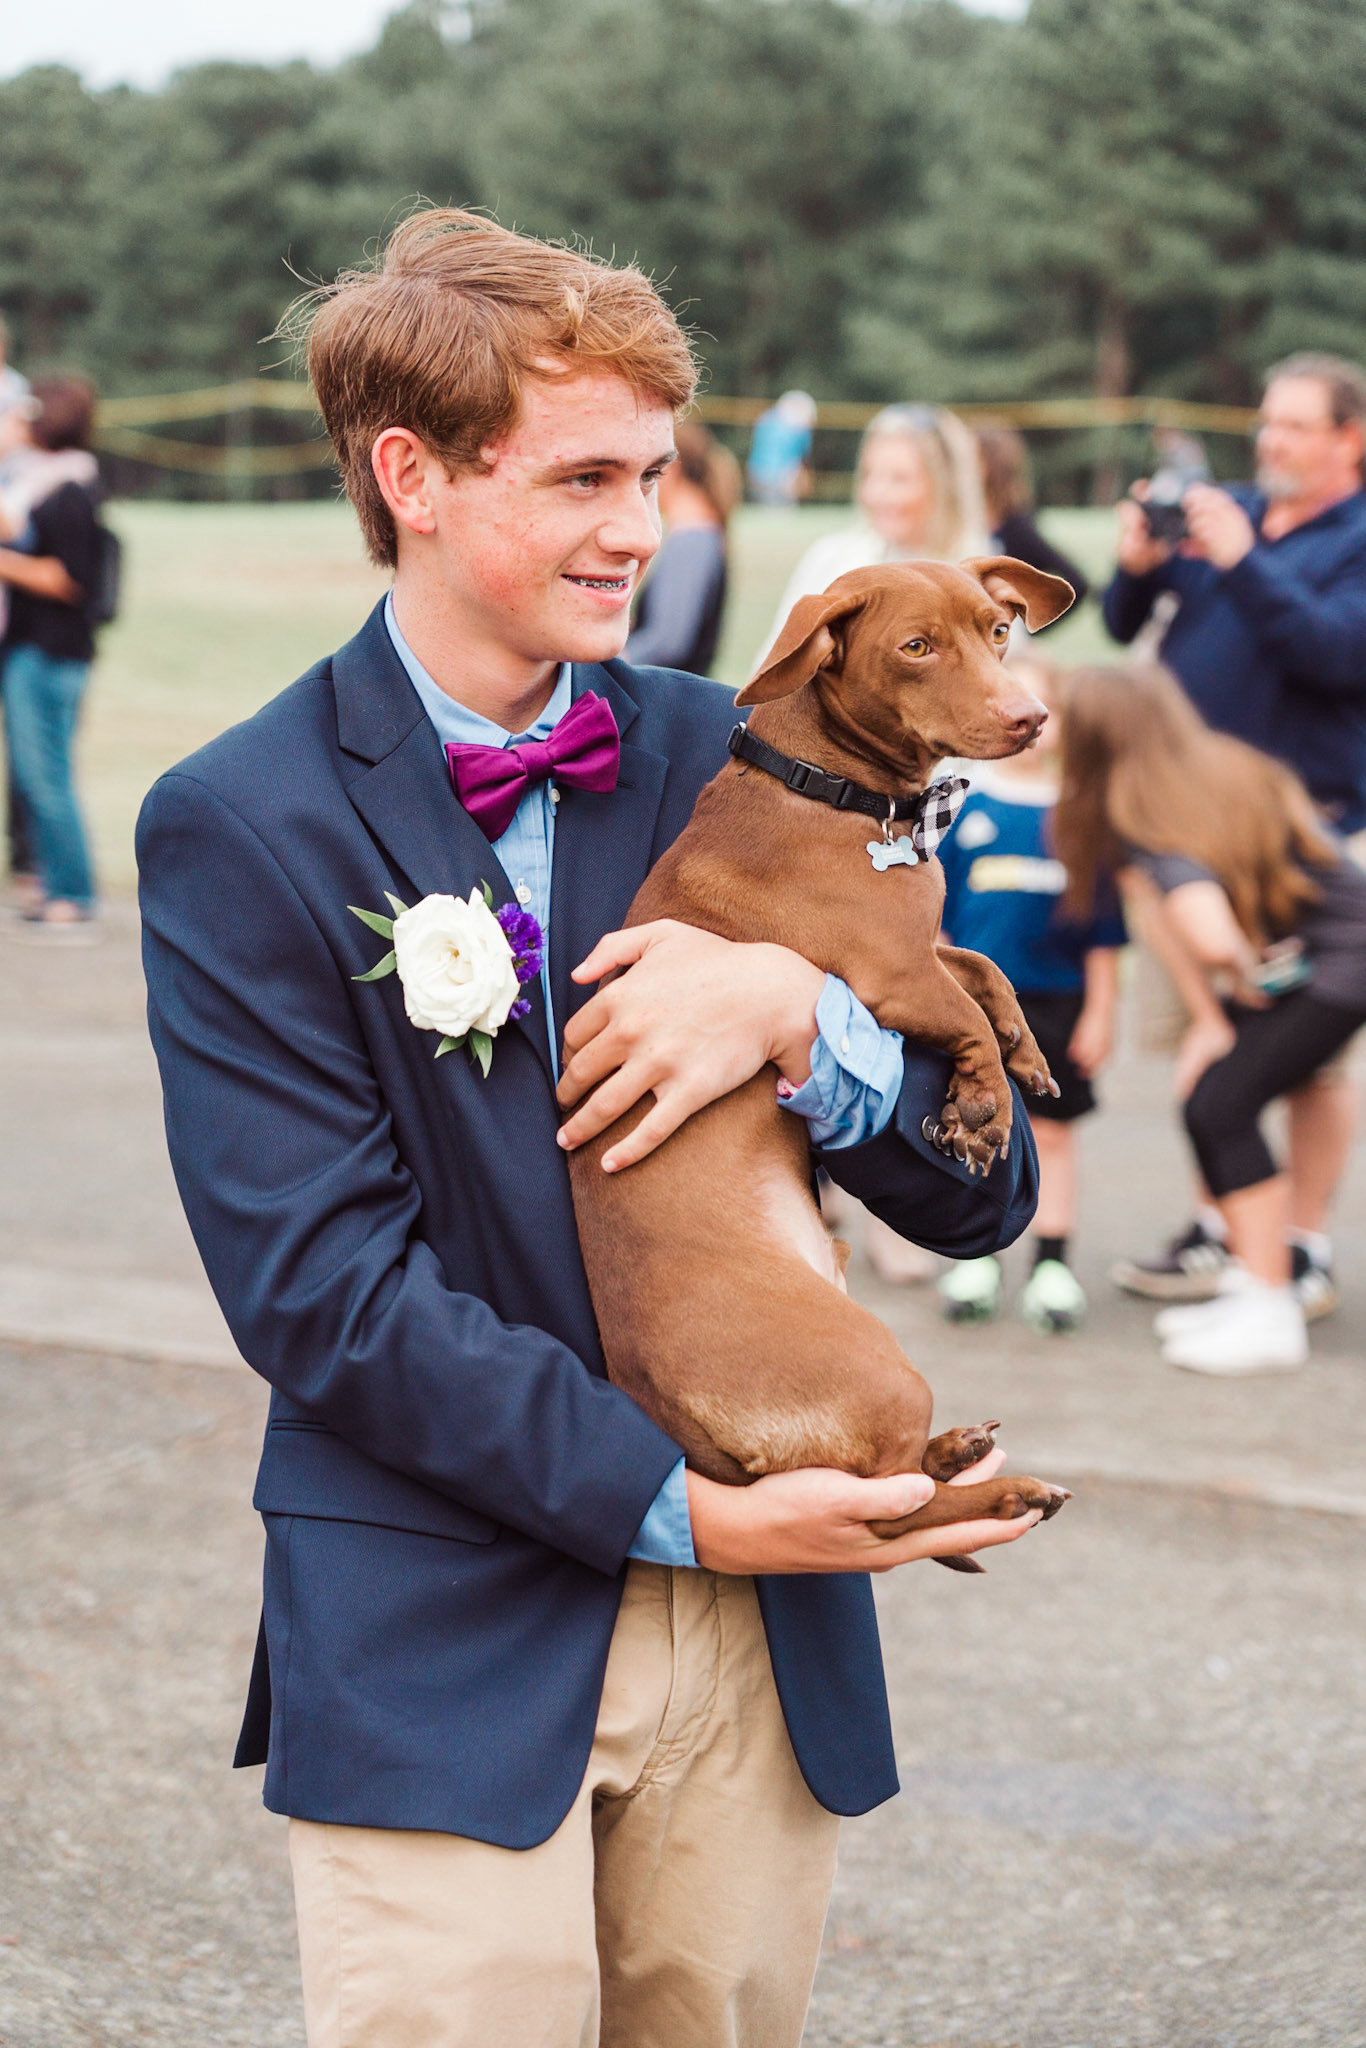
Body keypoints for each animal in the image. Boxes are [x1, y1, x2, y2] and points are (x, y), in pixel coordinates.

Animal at [568, 557, 1074, 1544]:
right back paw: (1004, 1492)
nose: (1031, 719)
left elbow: (982, 968)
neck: (824, 787)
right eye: (916, 647)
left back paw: (961, 1451)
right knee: (893, 1509)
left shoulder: (920, 949)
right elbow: (960, 1008)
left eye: (998, 630)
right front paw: (981, 1107)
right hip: (880, 1368)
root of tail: (688, 1432)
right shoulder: (889, 976)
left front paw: (1023, 1053)